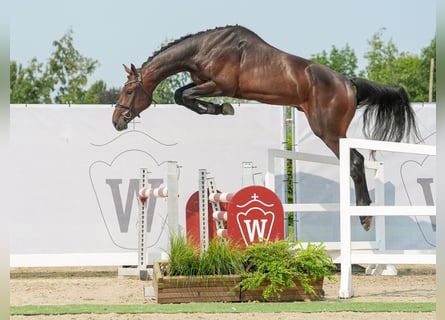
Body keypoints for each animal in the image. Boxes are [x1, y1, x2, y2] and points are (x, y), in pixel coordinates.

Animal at [112, 25, 420, 230]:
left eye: (129, 91)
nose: (116, 121)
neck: (204, 48)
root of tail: (347, 82)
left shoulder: (220, 85)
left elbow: (184, 95)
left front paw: (221, 108)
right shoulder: (203, 83)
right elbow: (181, 95)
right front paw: (220, 109)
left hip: (329, 131)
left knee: (355, 161)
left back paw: (365, 215)